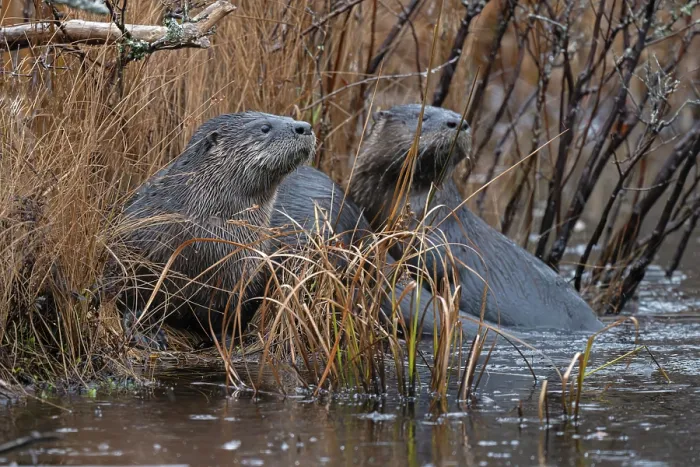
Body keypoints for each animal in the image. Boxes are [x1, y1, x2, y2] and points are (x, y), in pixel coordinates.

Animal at [116, 111, 315, 349]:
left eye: (290, 118)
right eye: (265, 128)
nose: (305, 127)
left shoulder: (243, 275)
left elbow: (228, 316)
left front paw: (227, 341)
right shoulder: (135, 251)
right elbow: (131, 295)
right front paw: (145, 332)